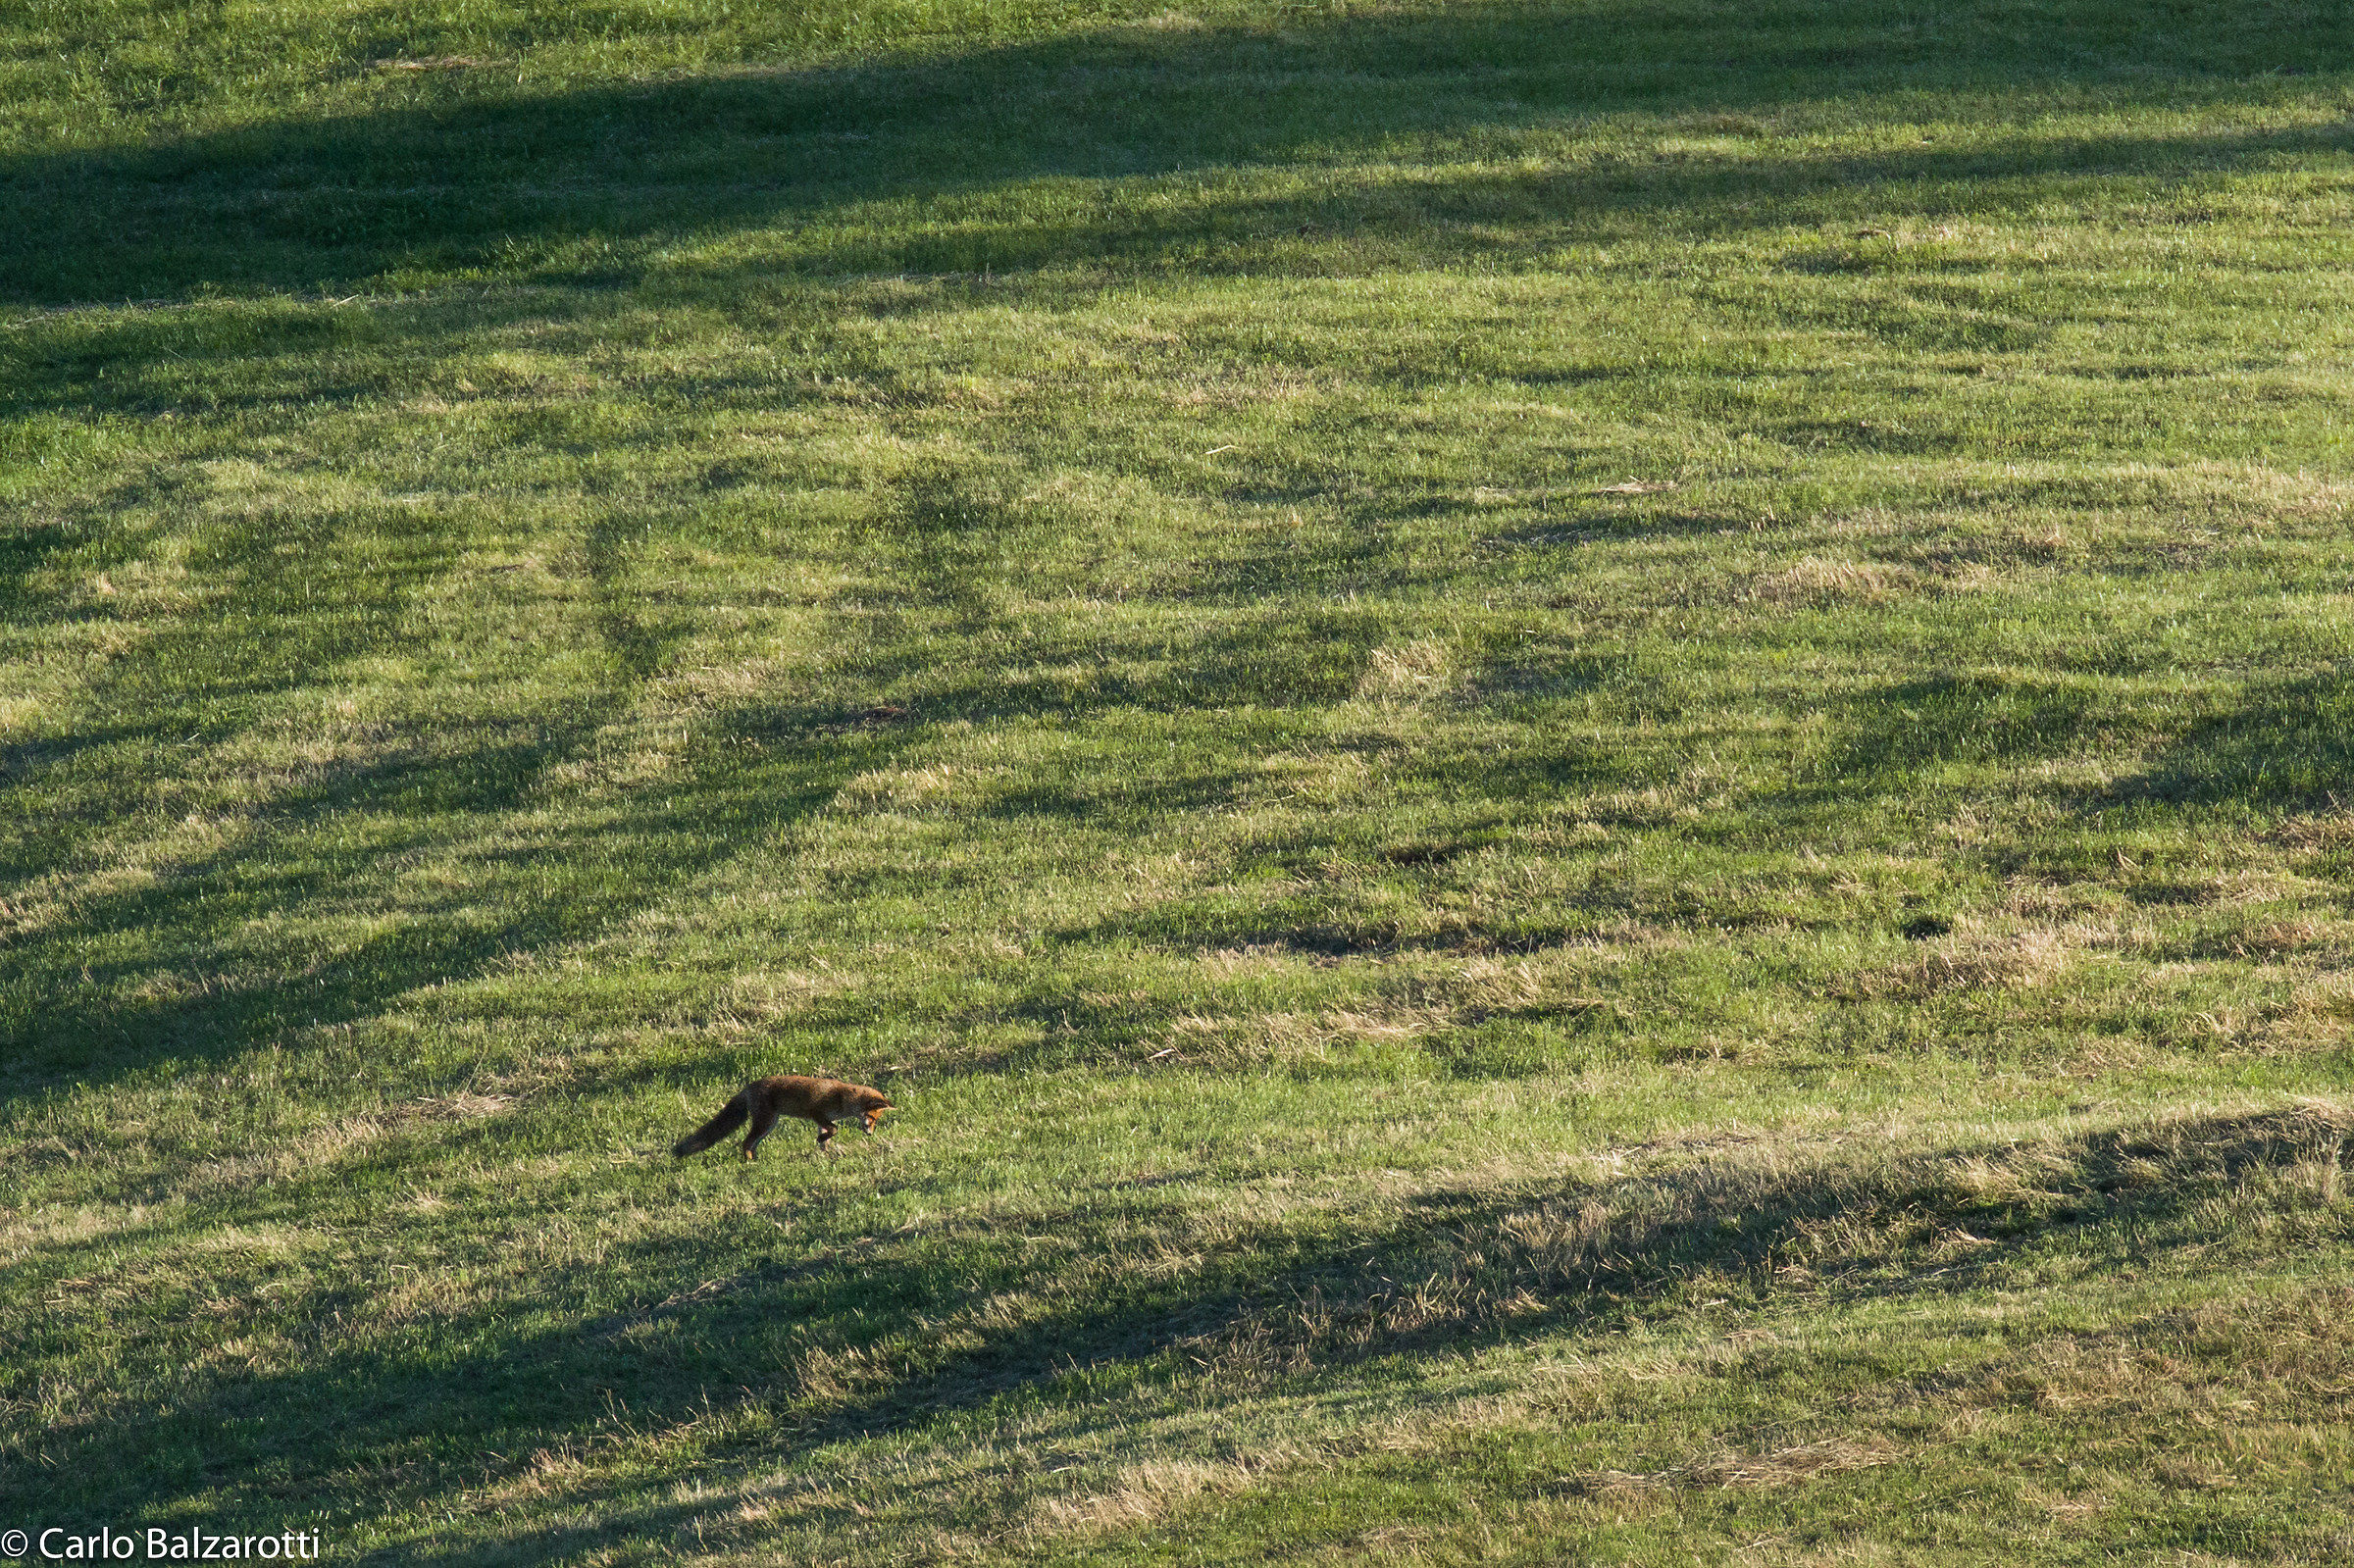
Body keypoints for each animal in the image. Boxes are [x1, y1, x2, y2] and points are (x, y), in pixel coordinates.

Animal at [672, 1075, 895, 1161]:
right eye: (873, 1119)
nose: (870, 1134)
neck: (843, 1098)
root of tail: (748, 1087)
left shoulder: (823, 1120)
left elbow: (828, 1137)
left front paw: (825, 1153)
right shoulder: (817, 1113)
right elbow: (833, 1129)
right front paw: (821, 1142)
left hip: (770, 1124)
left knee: (751, 1143)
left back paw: (755, 1159)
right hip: (766, 1122)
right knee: (745, 1142)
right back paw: (750, 1162)